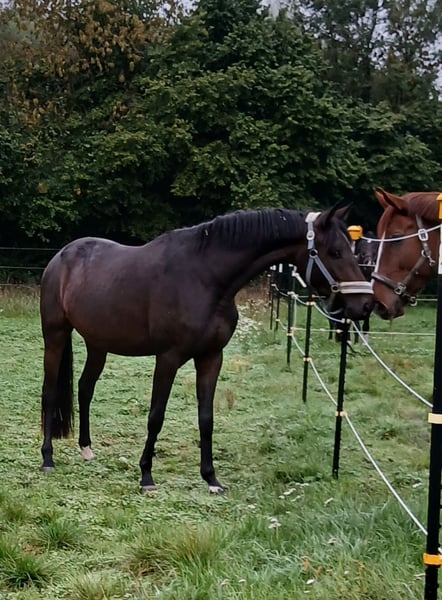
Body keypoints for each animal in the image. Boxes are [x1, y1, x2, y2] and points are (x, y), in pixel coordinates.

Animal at [39, 206, 373, 493]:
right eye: (335, 252)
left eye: (349, 249)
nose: (365, 305)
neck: (205, 278)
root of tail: (61, 257)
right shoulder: (168, 358)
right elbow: (156, 415)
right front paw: (146, 475)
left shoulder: (211, 357)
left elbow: (206, 418)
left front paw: (211, 479)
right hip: (55, 336)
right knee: (50, 391)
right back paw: (47, 458)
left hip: (98, 344)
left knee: (85, 388)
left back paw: (86, 449)